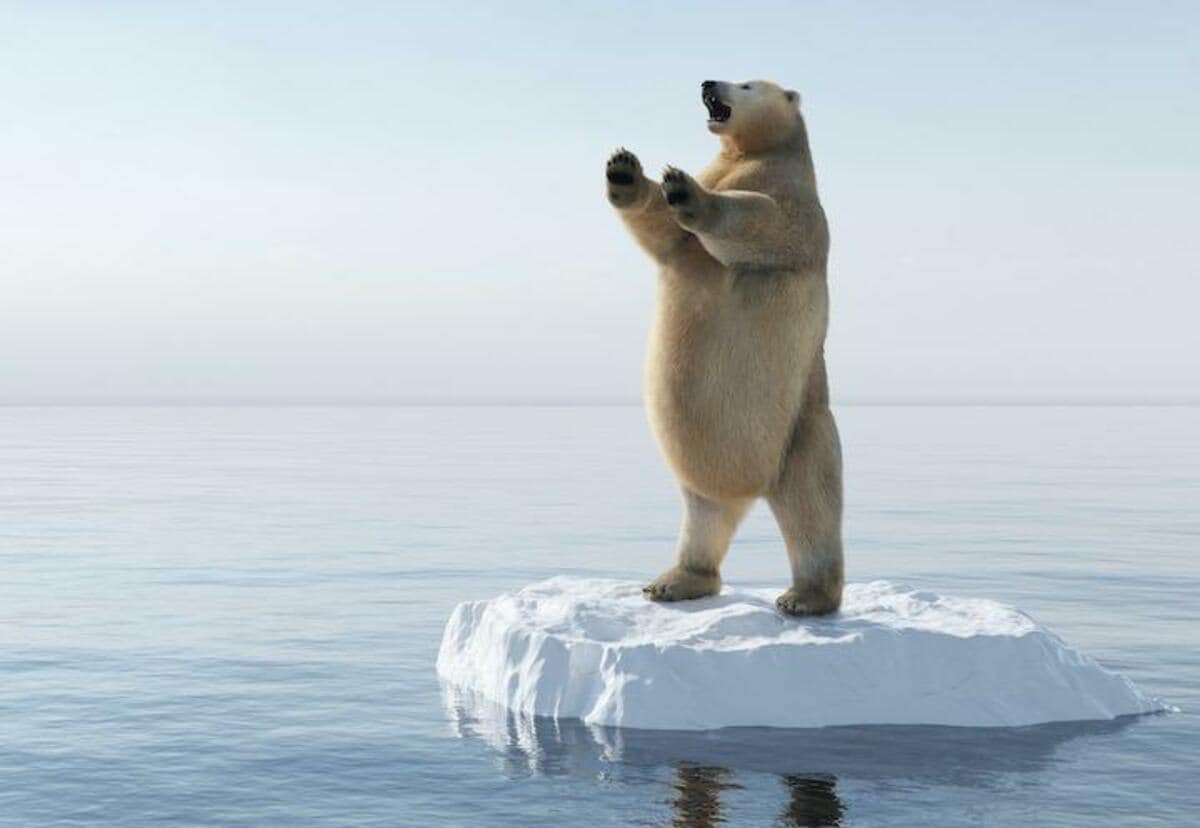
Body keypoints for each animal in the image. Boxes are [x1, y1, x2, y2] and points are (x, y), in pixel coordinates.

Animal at [605, 79, 843, 616]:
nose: (708, 82)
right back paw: (674, 581)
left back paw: (806, 596)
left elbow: (762, 221)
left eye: (748, 83)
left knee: (813, 508)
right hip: (705, 477)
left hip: (799, 435)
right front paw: (625, 170)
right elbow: (666, 233)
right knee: (704, 515)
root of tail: (748, 489)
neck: (756, 152)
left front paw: (684, 189)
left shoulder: (796, 204)